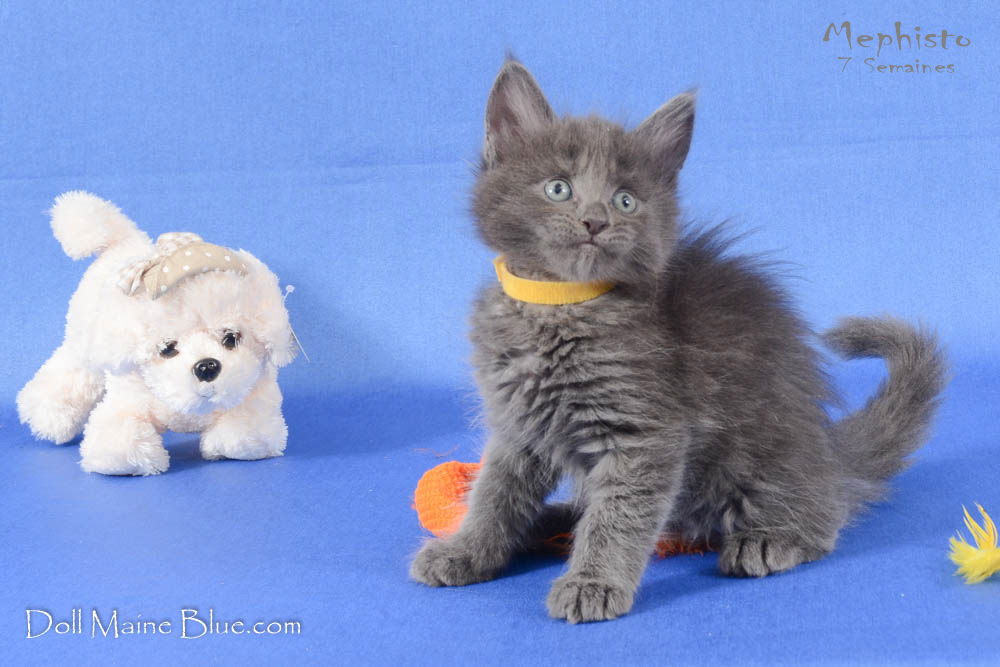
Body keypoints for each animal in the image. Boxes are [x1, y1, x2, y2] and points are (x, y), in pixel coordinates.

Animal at [410, 60, 946, 624]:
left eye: (626, 200)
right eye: (558, 189)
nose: (596, 220)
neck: (560, 304)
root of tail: (829, 453)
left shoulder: (646, 432)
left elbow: (618, 513)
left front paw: (593, 582)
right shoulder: (516, 424)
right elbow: (495, 494)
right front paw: (467, 550)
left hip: (763, 455)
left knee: (823, 514)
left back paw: (771, 538)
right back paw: (548, 523)